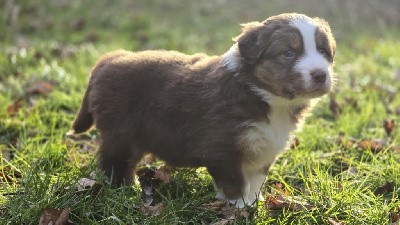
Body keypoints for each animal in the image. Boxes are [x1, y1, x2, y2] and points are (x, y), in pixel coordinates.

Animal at [69, 13, 334, 208]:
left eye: (323, 52)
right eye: (288, 53)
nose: (321, 74)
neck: (264, 97)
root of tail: (108, 59)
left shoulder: (264, 149)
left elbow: (256, 180)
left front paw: (253, 204)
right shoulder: (221, 149)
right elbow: (235, 182)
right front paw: (239, 208)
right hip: (121, 134)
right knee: (113, 162)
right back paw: (125, 189)